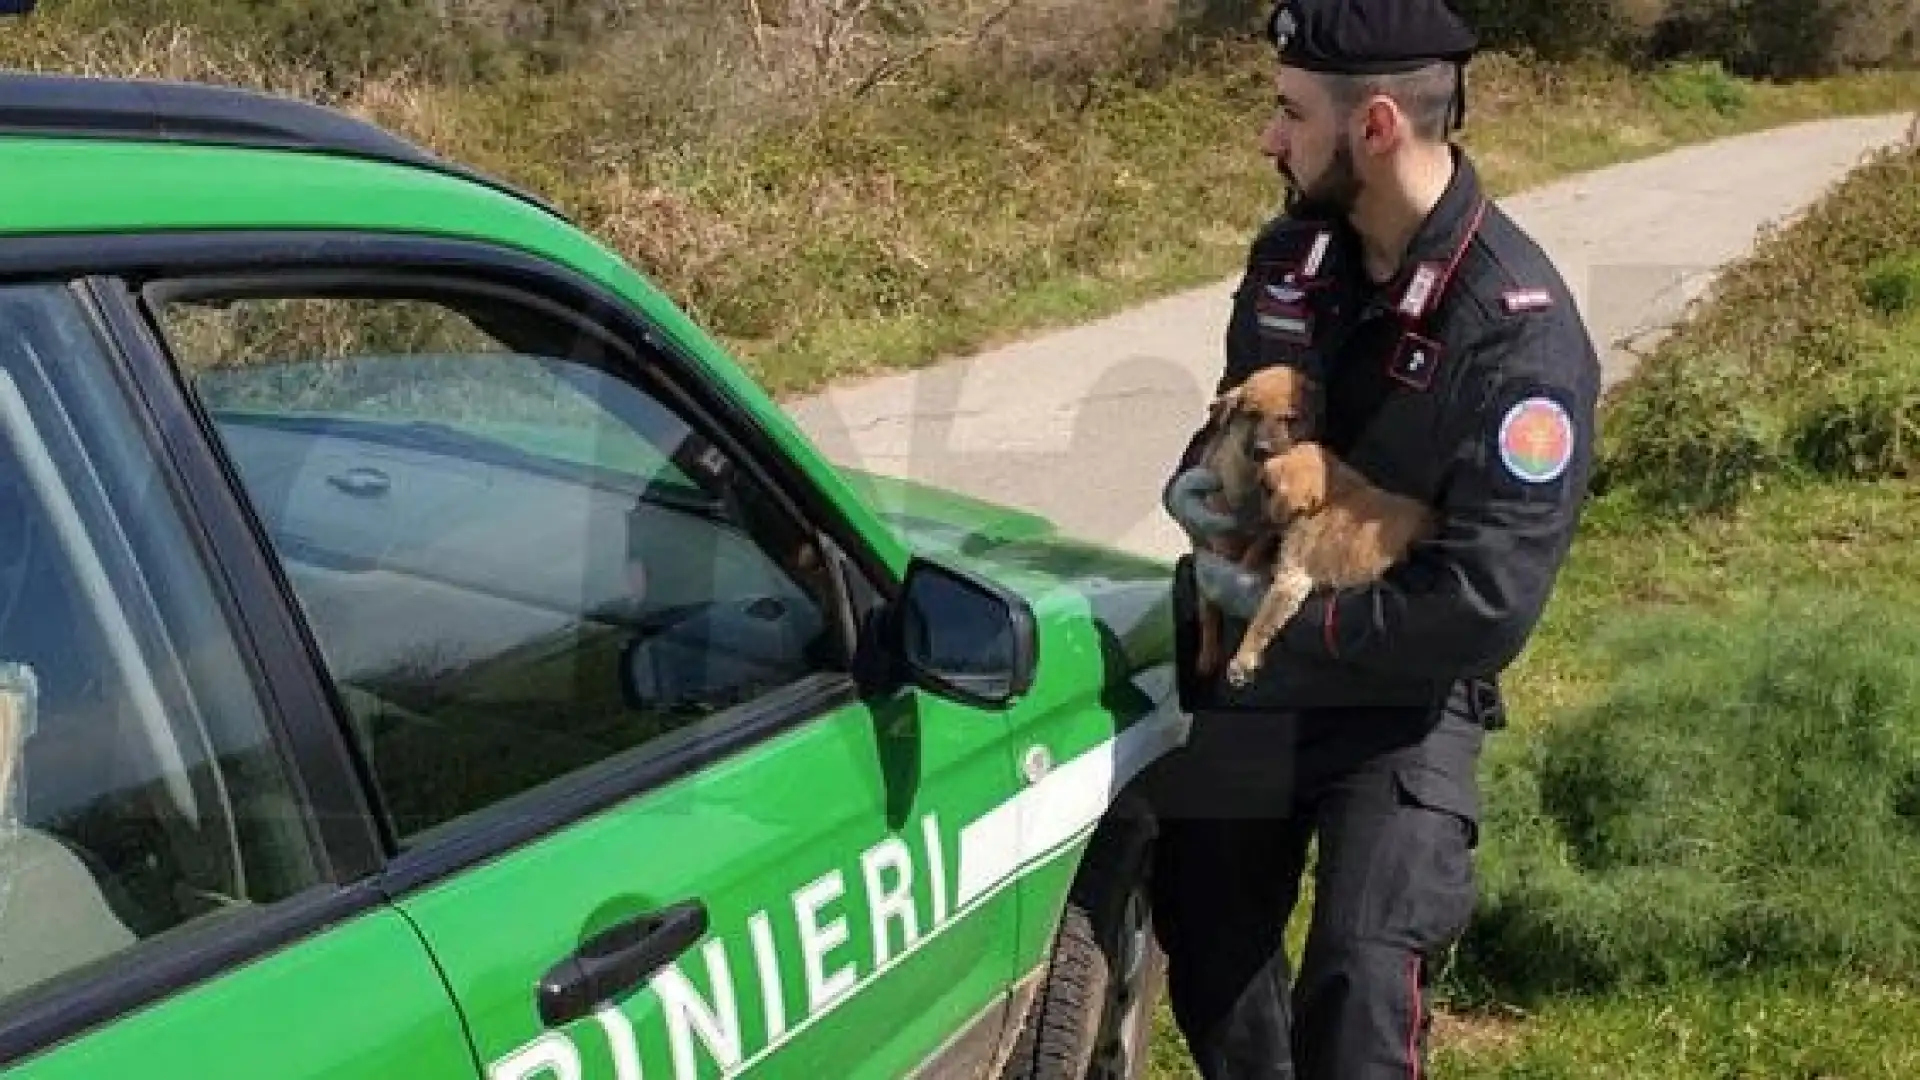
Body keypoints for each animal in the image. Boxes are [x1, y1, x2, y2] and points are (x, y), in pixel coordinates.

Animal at [1182, 365, 1320, 676]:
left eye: (1289, 418)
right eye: (1252, 415)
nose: (1262, 449)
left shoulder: (1272, 529)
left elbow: (1256, 548)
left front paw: (1245, 573)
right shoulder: (1222, 529)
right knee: (1208, 612)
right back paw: (1207, 655)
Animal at [1228, 438, 1443, 680]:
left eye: (1265, 488)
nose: (1260, 449)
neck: (1332, 495)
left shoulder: (1293, 577)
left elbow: (1262, 621)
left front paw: (1243, 659)